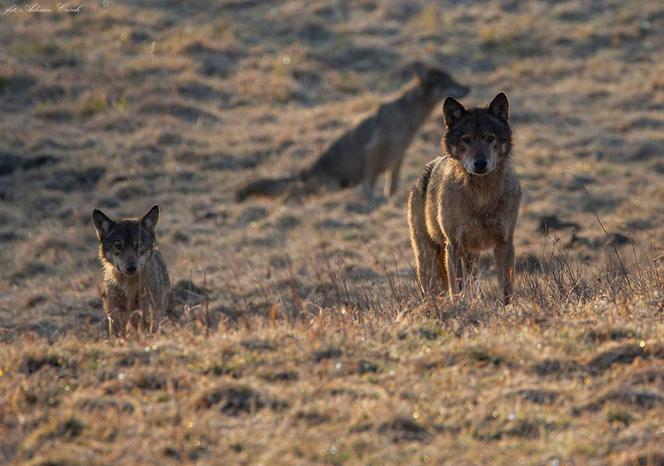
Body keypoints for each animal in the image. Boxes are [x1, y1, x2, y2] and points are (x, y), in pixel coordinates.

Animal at [92, 204, 170, 334]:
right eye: (118, 245)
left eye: (139, 244)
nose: (131, 268)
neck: (130, 287)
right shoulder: (114, 317)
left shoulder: (147, 312)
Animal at [236, 62, 470, 200]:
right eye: (448, 82)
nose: (467, 88)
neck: (408, 115)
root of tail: (303, 173)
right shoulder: (373, 150)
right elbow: (370, 184)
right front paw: (370, 200)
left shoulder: (398, 155)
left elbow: (392, 184)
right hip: (327, 186)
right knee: (292, 193)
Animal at [408, 93, 520, 306]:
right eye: (466, 139)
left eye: (490, 138)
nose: (480, 163)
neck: (481, 196)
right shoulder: (454, 246)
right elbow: (457, 288)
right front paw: (461, 305)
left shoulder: (505, 242)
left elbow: (506, 287)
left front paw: (508, 308)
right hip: (429, 260)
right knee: (432, 289)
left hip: (472, 257)